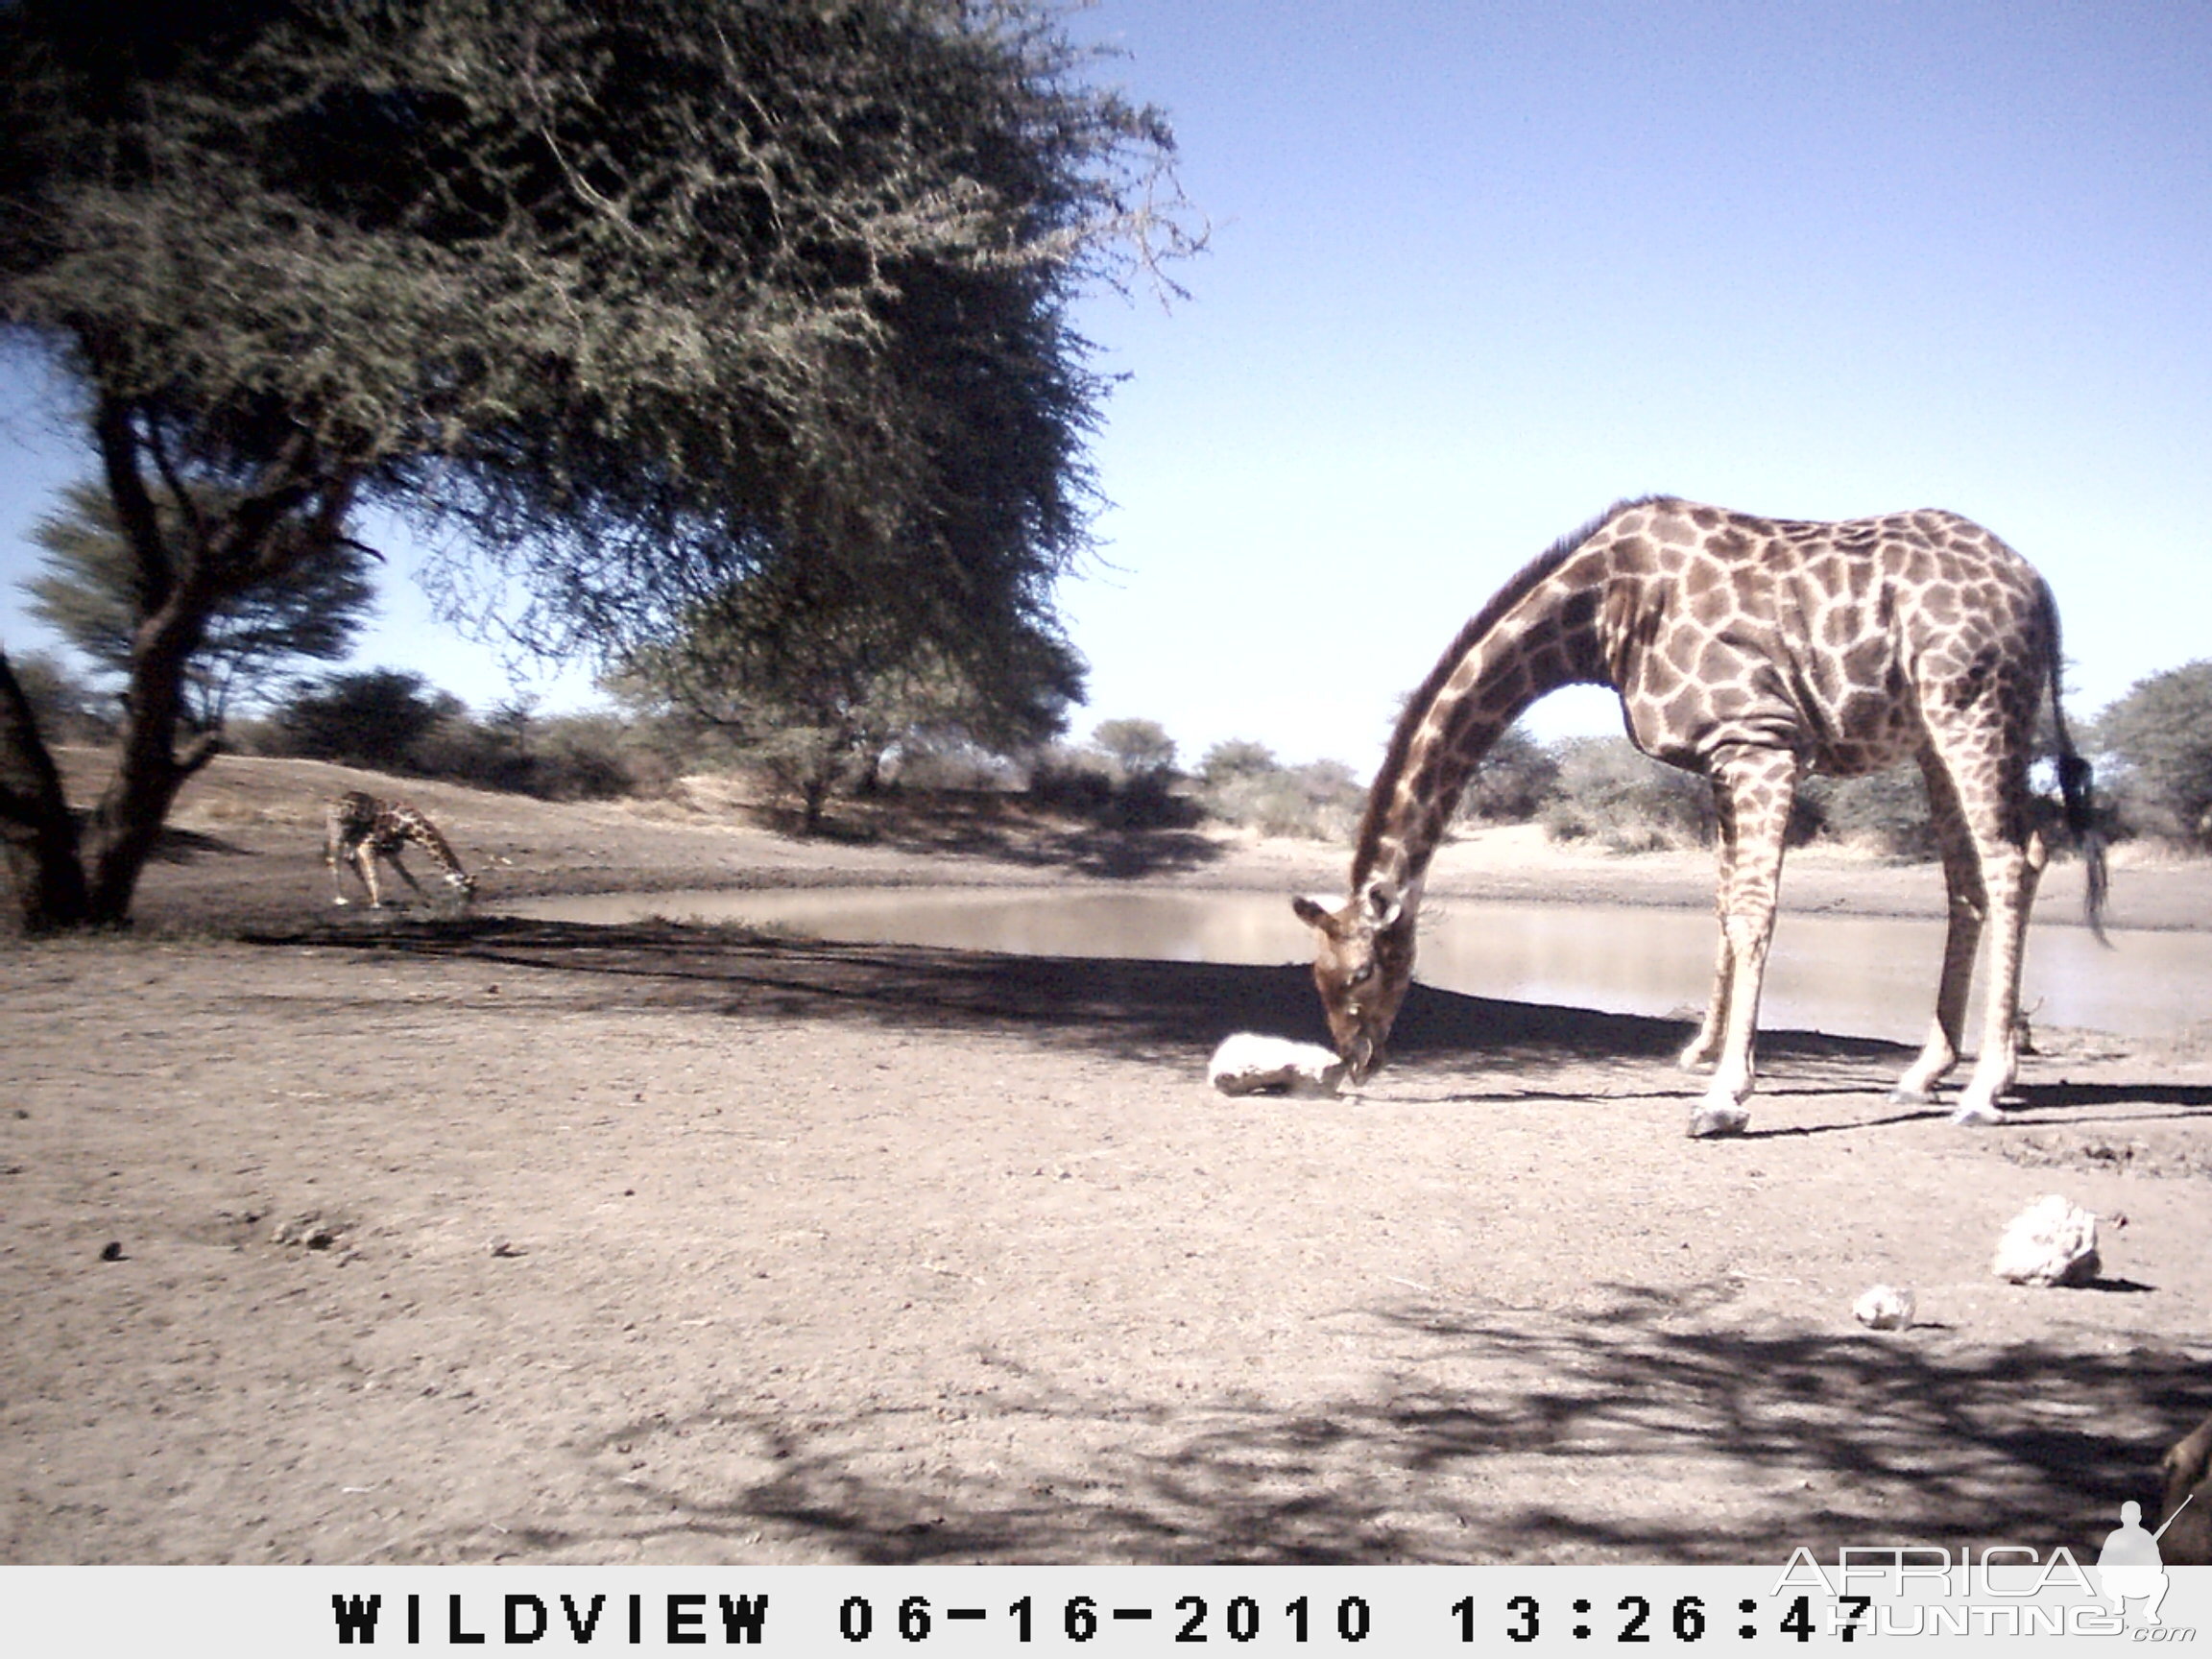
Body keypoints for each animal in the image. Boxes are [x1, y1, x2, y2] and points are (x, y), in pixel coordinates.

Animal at [318, 791, 473, 911]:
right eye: (468, 890)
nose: (467, 909)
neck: (408, 826)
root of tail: (336, 800)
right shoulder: (368, 845)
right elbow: (374, 874)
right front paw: (376, 904)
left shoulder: (390, 851)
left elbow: (407, 876)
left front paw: (429, 900)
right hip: (337, 836)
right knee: (333, 861)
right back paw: (341, 899)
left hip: (349, 839)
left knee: (348, 858)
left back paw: (366, 896)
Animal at [1291, 499, 2105, 1141]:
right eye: (1316, 974)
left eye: (1362, 970)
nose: (1351, 1066)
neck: (1602, 616)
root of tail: (2041, 590)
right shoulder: (1718, 759)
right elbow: (1721, 907)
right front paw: (1706, 1056)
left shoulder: (1761, 740)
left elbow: (1752, 912)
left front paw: (1724, 1100)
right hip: (1939, 731)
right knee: (1979, 874)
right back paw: (1926, 1075)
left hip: (1970, 704)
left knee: (2010, 858)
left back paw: (1982, 1091)